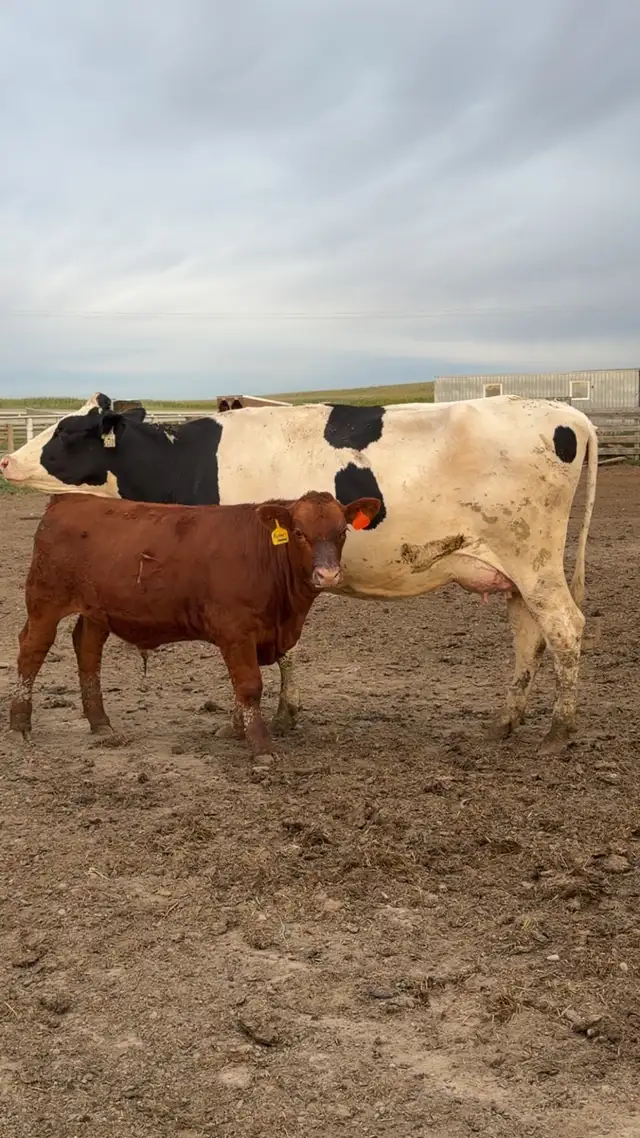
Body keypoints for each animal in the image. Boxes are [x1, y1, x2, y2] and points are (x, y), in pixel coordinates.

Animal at [9, 490, 381, 756]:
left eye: (341, 532)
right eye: (299, 533)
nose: (328, 575)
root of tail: (67, 500)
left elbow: (242, 688)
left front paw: (237, 730)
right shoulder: (236, 632)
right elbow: (249, 686)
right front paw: (260, 745)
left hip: (95, 611)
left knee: (87, 651)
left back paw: (100, 722)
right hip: (44, 602)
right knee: (32, 651)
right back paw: (20, 724)